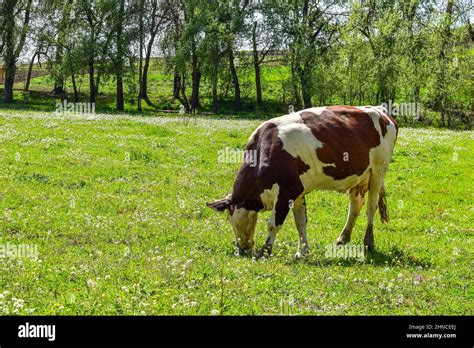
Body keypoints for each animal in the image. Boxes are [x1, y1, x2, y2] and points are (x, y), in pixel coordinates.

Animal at [207, 106, 396, 258]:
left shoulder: (287, 191)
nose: (242, 248)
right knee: (355, 206)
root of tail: (380, 110)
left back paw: (368, 242)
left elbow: (273, 224)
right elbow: (300, 221)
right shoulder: (298, 191)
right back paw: (343, 238)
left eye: (232, 220)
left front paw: (265, 252)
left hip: (378, 171)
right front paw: (302, 251)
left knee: (371, 207)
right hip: (358, 177)